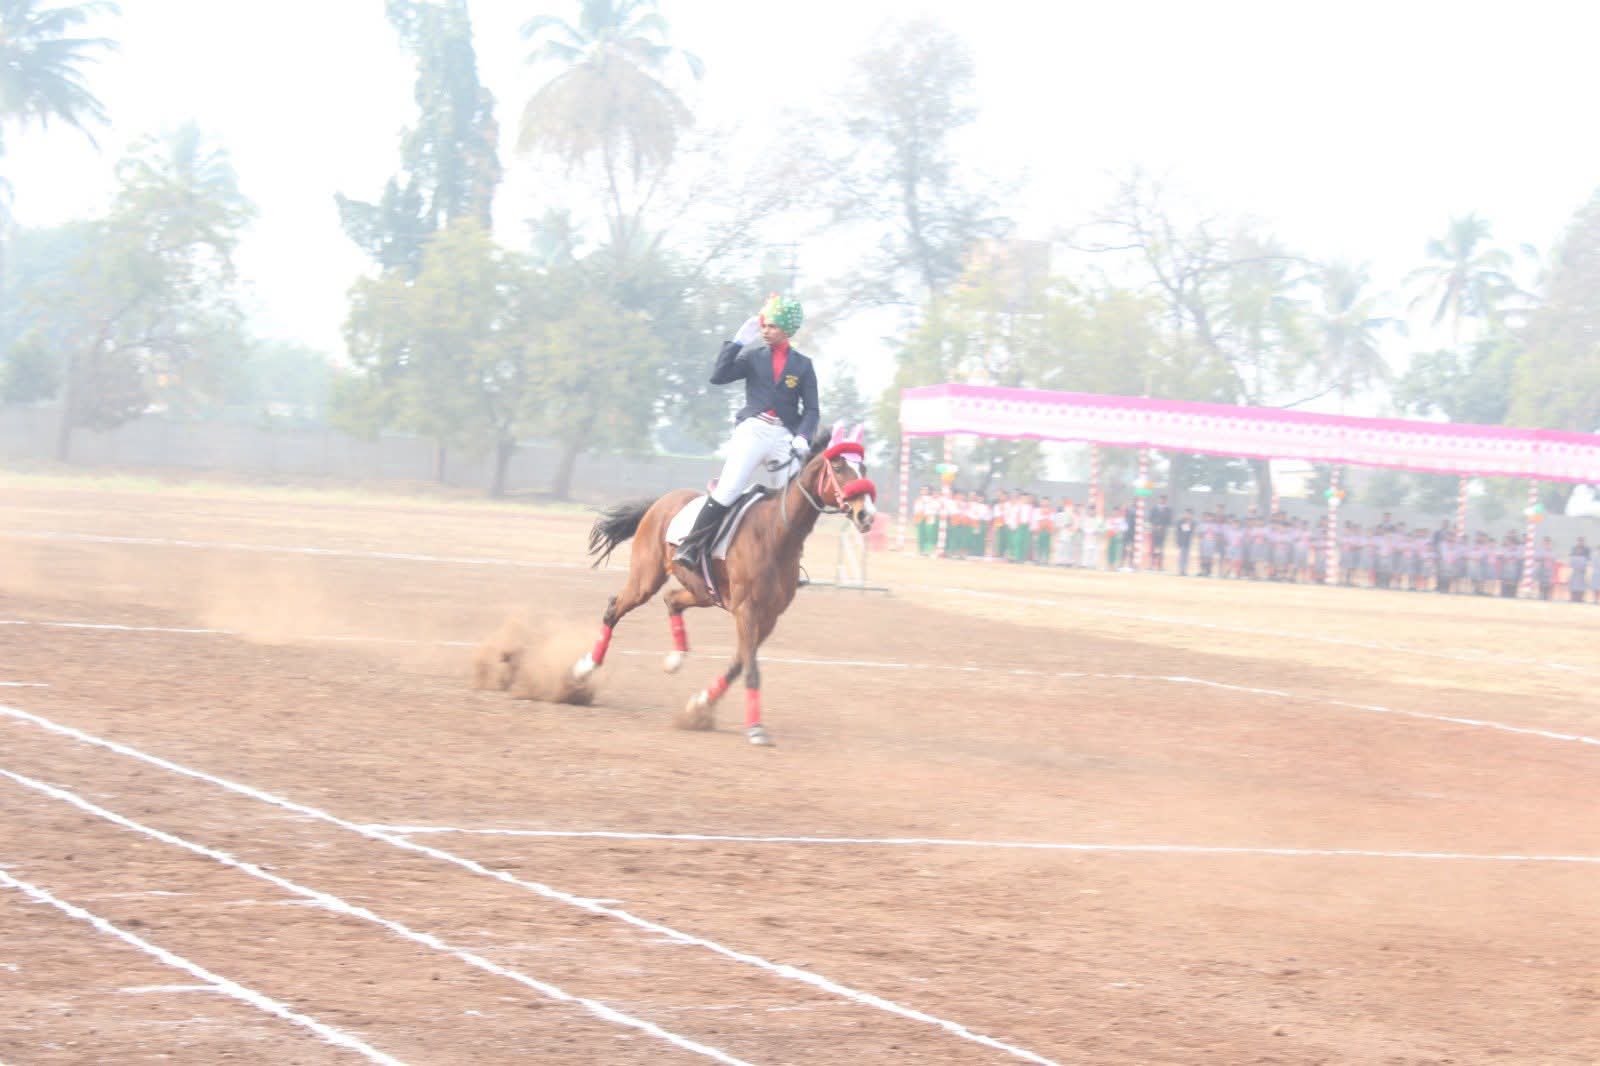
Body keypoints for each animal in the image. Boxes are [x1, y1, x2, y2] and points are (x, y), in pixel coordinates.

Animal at [572, 424, 877, 746]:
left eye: (863, 468)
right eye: (839, 467)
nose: (866, 514)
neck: (775, 533)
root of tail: (660, 502)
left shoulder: (768, 617)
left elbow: (740, 663)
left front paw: (700, 705)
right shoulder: (747, 610)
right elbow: (751, 668)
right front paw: (755, 728)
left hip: (702, 592)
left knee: (671, 599)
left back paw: (675, 658)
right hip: (646, 579)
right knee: (614, 608)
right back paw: (582, 670)